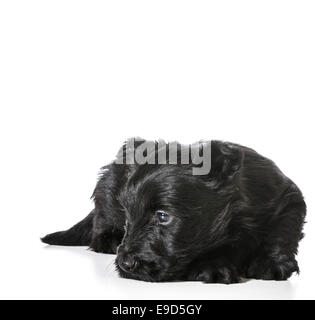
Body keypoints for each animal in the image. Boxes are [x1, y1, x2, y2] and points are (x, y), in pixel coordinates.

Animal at [40, 139, 308, 284]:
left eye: (163, 216)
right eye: (129, 218)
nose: (125, 263)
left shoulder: (288, 200)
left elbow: (282, 233)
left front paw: (272, 263)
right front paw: (215, 266)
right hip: (107, 191)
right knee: (100, 223)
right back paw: (109, 240)